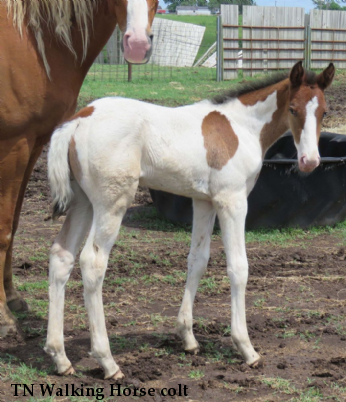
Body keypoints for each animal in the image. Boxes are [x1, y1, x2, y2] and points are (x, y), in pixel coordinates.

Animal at [0, 0, 157, 336]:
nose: (137, 44)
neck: (33, 42)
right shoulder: (12, 146)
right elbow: (3, 229)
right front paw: (3, 317)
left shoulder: (33, 144)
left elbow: (15, 224)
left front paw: (13, 298)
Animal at [46, 62, 336, 380]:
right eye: (293, 109)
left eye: (324, 111)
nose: (310, 161)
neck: (241, 127)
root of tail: (79, 120)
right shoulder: (232, 200)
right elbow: (238, 267)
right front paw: (246, 349)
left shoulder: (204, 201)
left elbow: (198, 259)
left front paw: (188, 338)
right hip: (112, 202)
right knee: (93, 262)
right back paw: (107, 362)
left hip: (82, 202)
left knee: (61, 255)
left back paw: (60, 357)